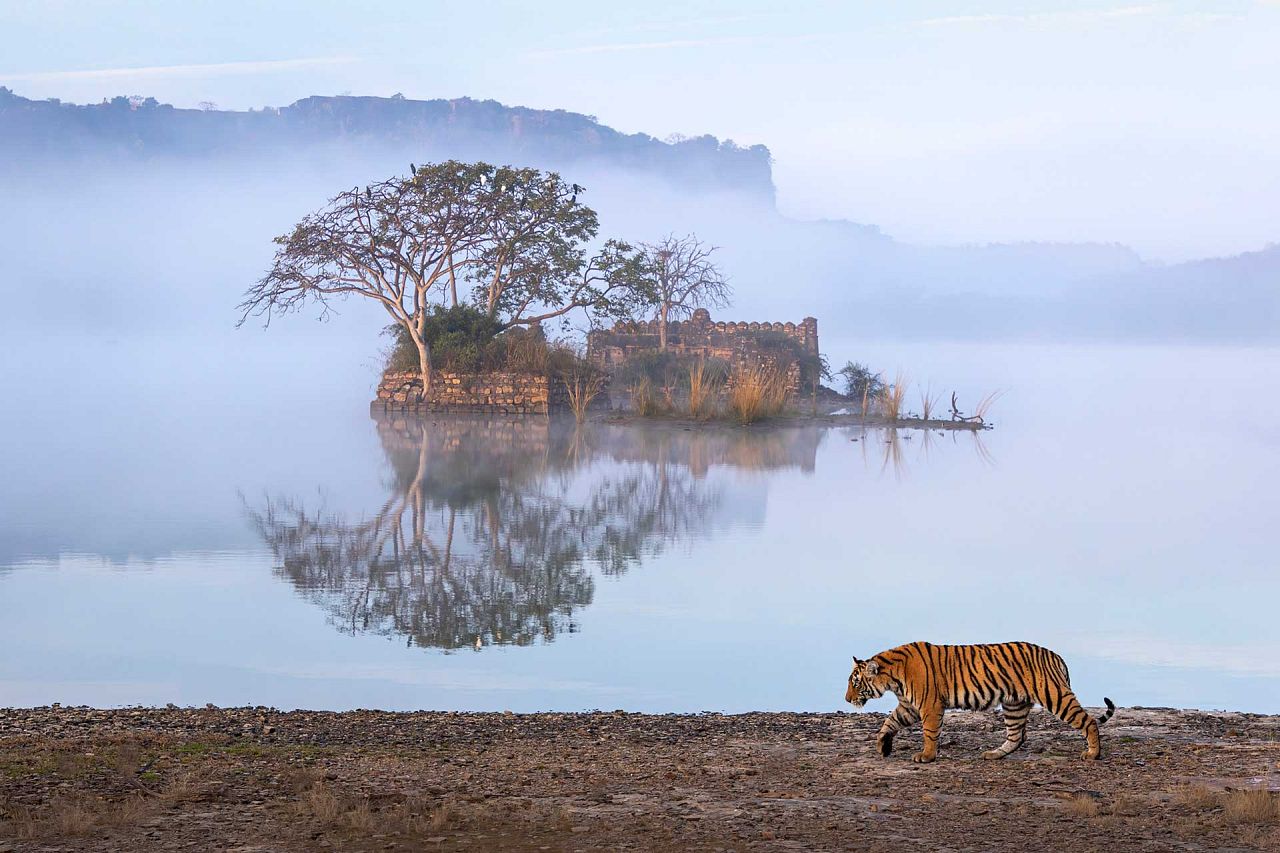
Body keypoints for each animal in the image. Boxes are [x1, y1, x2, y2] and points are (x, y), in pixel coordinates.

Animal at [849, 637, 1111, 763]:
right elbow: (888, 723)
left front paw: (927, 756)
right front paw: (882, 746)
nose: (847, 698)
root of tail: (1056, 656)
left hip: (1054, 695)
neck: (893, 678)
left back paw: (1093, 754)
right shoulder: (908, 706)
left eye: (855, 683)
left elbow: (929, 733)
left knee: (1089, 721)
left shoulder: (929, 705)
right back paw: (993, 754)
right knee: (1017, 736)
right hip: (1014, 705)